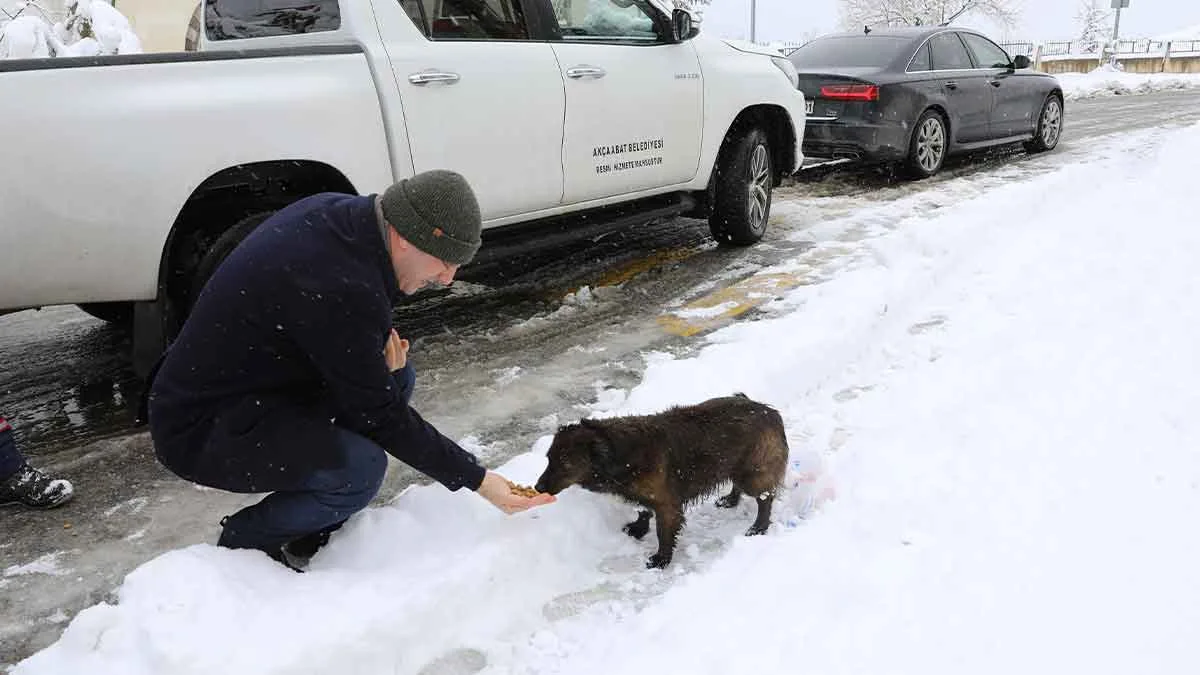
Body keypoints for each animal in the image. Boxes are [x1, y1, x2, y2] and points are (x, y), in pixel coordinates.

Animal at [535, 391, 787, 564]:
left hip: (754, 472)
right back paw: (730, 500)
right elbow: (643, 510)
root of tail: (769, 410)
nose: (537, 487)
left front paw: (661, 559)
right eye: (548, 459)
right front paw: (638, 528)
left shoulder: (667, 505)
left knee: (765, 499)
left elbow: (663, 533)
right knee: (737, 485)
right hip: (735, 466)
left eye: (565, 464)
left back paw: (758, 527)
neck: (620, 452)